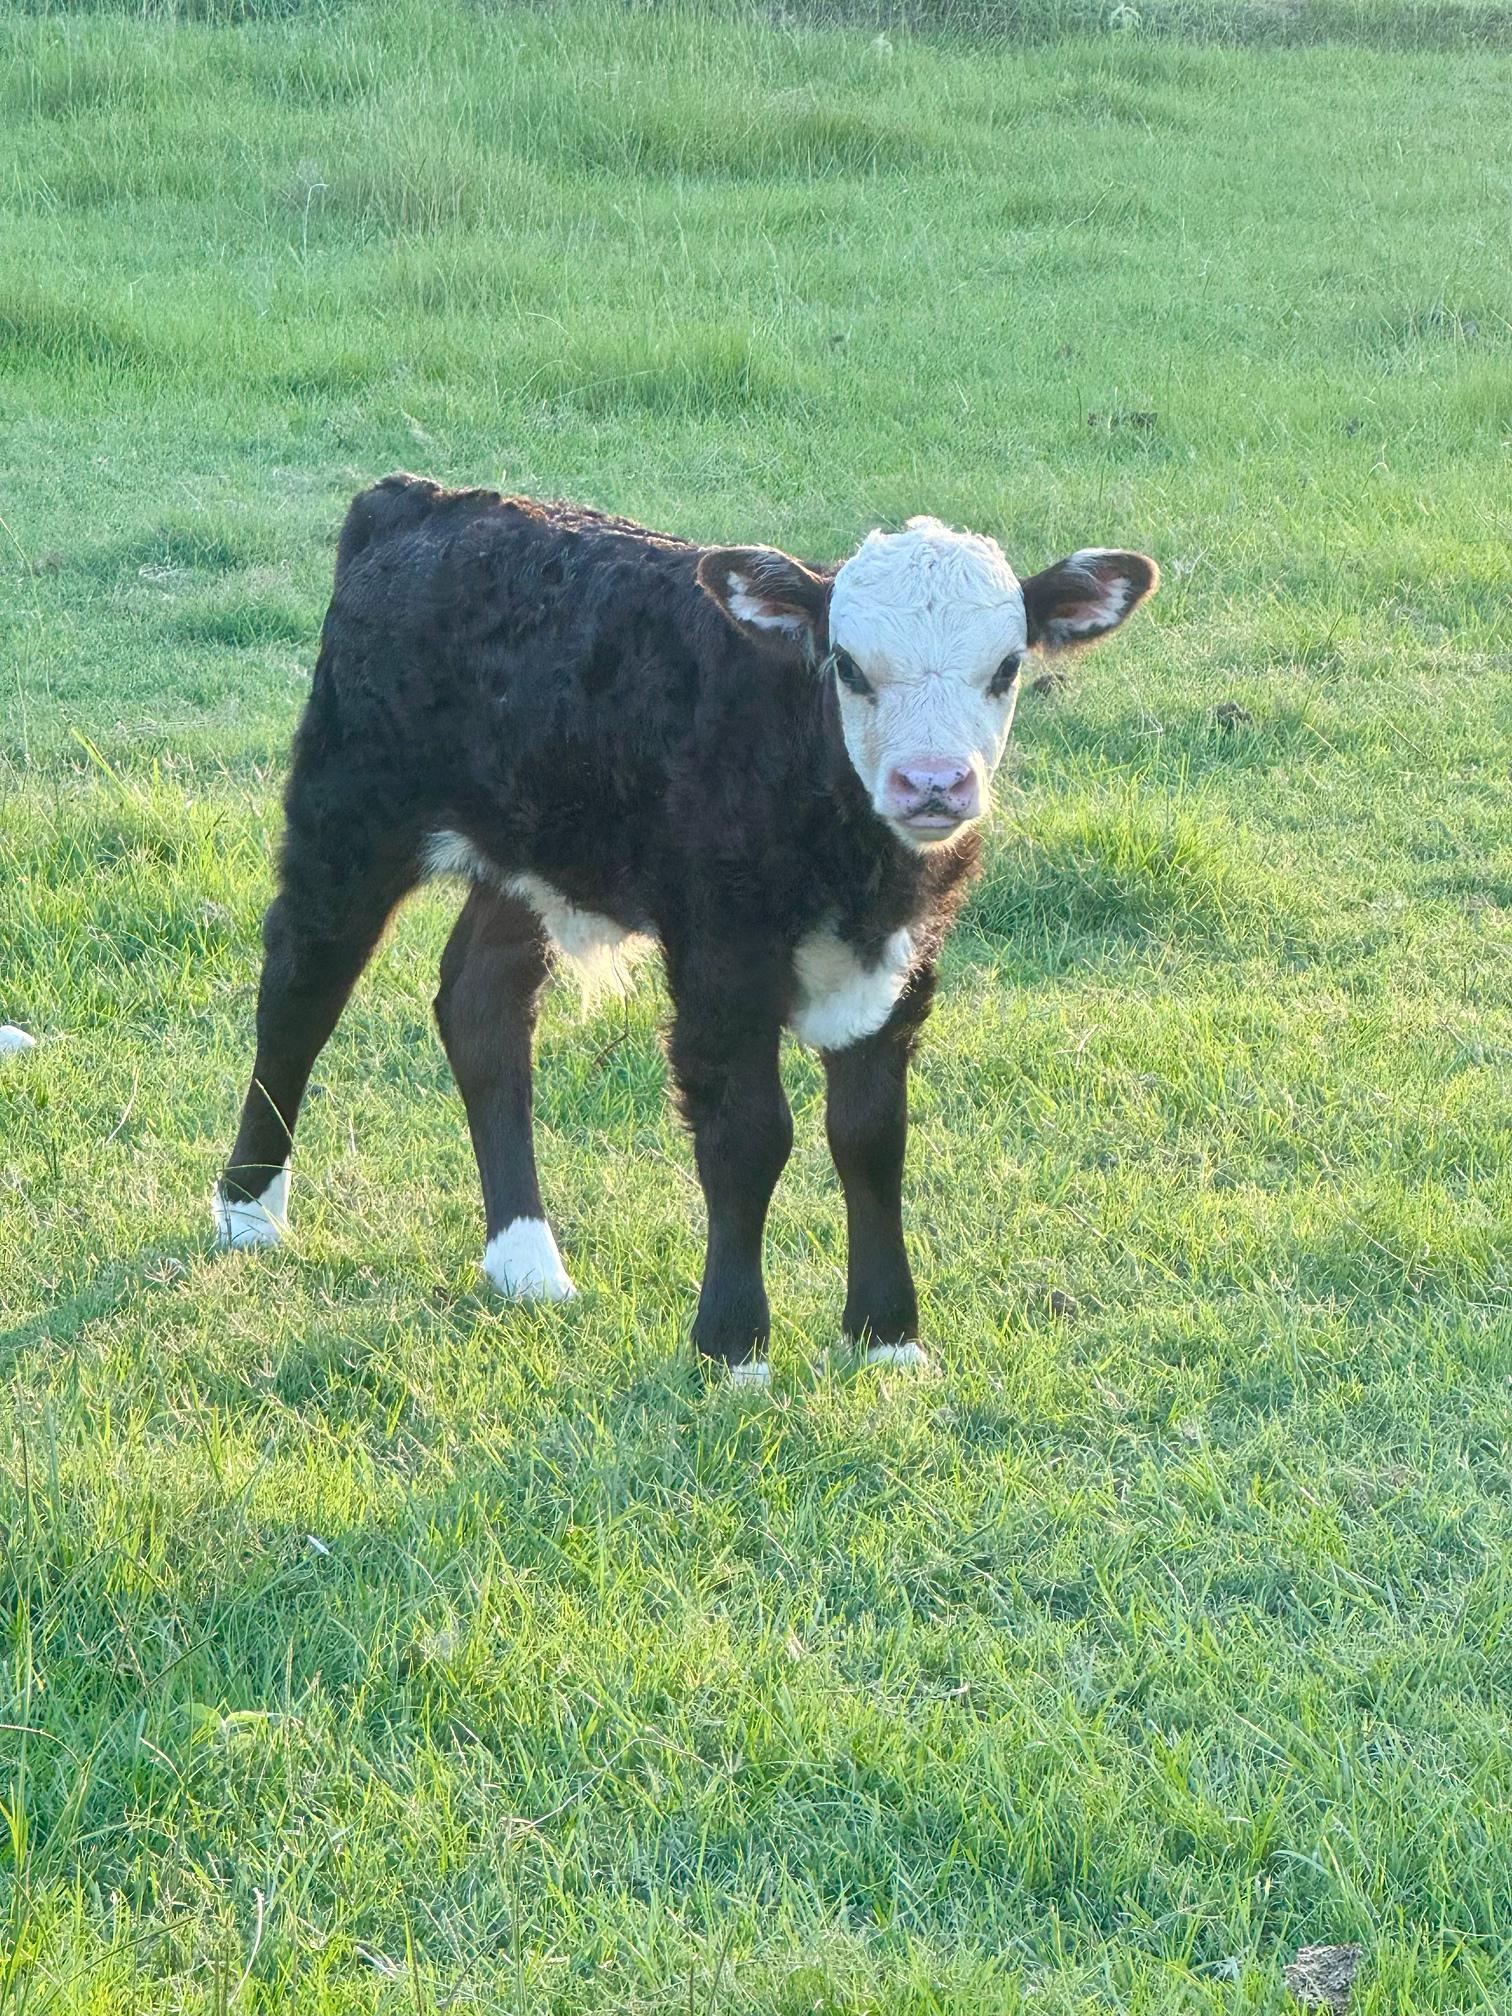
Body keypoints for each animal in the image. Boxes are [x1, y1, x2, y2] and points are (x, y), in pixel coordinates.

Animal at [215, 475, 1157, 1380]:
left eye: (1007, 666)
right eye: (849, 666)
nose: (932, 784)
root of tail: (416, 500)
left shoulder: (903, 959)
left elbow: (871, 1134)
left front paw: (887, 1339)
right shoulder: (720, 954)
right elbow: (748, 1135)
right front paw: (734, 1345)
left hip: (531, 851)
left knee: (482, 1006)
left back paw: (525, 1260)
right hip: (349, 805)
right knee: (299, 990)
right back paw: (248, 1208)